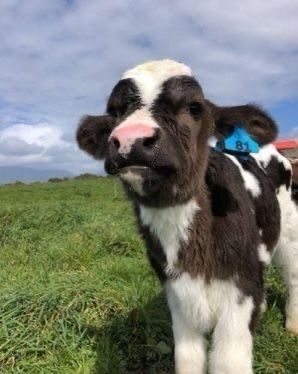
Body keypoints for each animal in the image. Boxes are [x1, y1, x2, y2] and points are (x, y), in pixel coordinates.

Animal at [77, 60, 298, 372]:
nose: (130, 140)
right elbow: (187, 357)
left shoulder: (238, 294)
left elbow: (228, 362)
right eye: (115, 112)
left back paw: (292, 324)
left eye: (195, 107)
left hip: (290, 230)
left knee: (293, 275)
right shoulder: (177, 295)